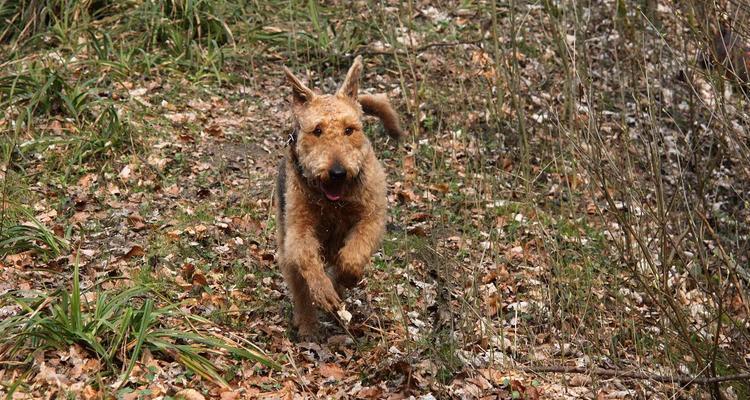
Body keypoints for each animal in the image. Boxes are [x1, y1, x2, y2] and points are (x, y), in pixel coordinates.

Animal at [276, 56, 402, 338]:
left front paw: (347, 277)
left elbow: (354, 256)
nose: (337, 172)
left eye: (349, 130)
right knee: (300, 288)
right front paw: (324, 293)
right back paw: (308, 325)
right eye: (317, 130)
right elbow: (307, 260)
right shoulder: (299, 229)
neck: (334, 204)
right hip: (286, 249)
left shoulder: (371, 218)